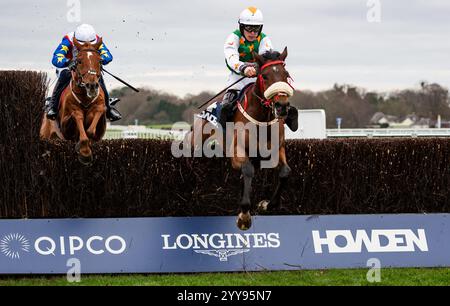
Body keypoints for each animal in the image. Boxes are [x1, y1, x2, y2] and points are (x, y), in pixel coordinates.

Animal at [190, 47, 296, 230]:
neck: (262, 120)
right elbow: (247, 170)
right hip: (196, 142)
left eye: (286, 74)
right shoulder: (236, 152)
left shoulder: (276, 149)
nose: (282, 106)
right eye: (265, 76)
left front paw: (267, 204)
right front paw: (244, 216)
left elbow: (285, 172)